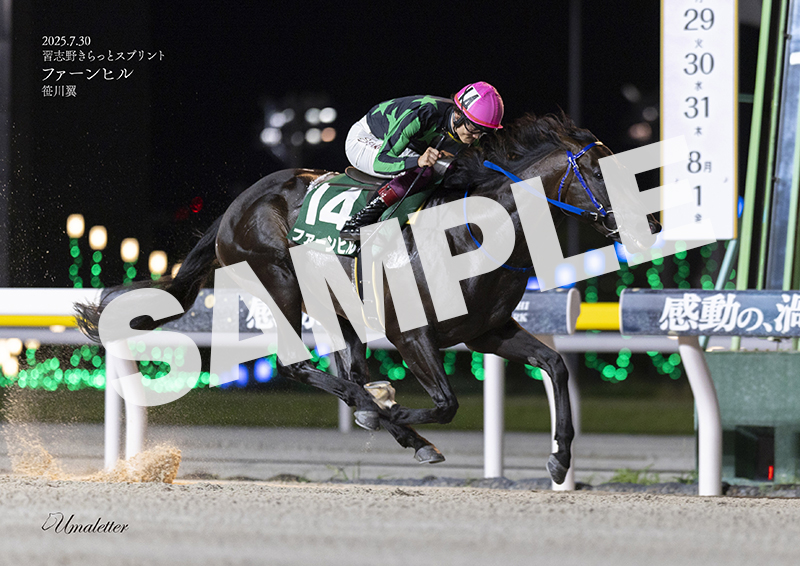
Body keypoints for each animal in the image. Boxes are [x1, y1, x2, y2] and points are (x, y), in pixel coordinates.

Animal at [76, 113, 659, 484]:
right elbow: (445, 404)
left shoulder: (487, 331)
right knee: (297, 365)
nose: (648, 224)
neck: (471, 230)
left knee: (344, 369)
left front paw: (559, 461)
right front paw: (387, 411)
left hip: (337, 306)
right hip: (279, 280)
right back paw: (379, 412)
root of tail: (240, 203)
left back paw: (385, 415)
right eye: (600, 171)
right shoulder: (412, 333)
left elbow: (555, 366)